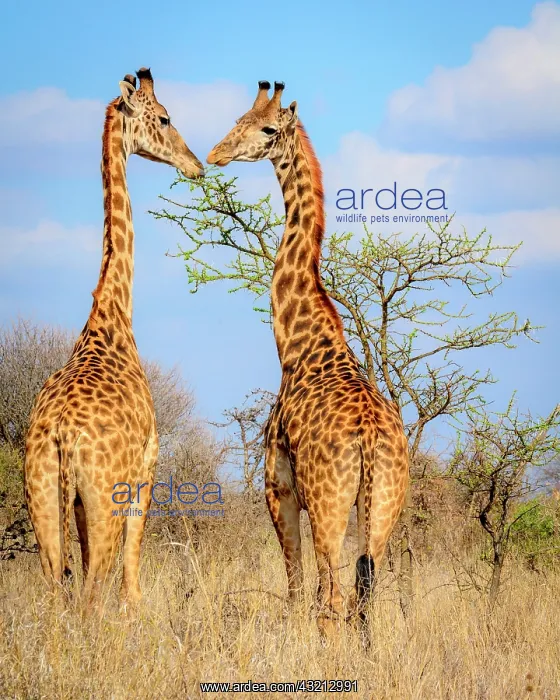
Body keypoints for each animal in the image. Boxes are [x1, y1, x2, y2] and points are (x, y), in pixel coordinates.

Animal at [24, 68, 204, 609]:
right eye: (164, 117)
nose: (196, 165)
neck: (111, 315)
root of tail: (62, 435)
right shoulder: (147, 464)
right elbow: (132, 581)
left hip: (44, 499)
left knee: (58, 588)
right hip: (102, 498)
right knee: (89, 593)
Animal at [207, 81, 409, 632]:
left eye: (266, 129)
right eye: (236, 119)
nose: (215, 154)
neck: (297, 344)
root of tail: (369, 440)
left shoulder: (278, 488)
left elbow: (295, 587)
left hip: (328, 504)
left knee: (332, 596)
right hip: (384, 505)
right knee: (363, 595)